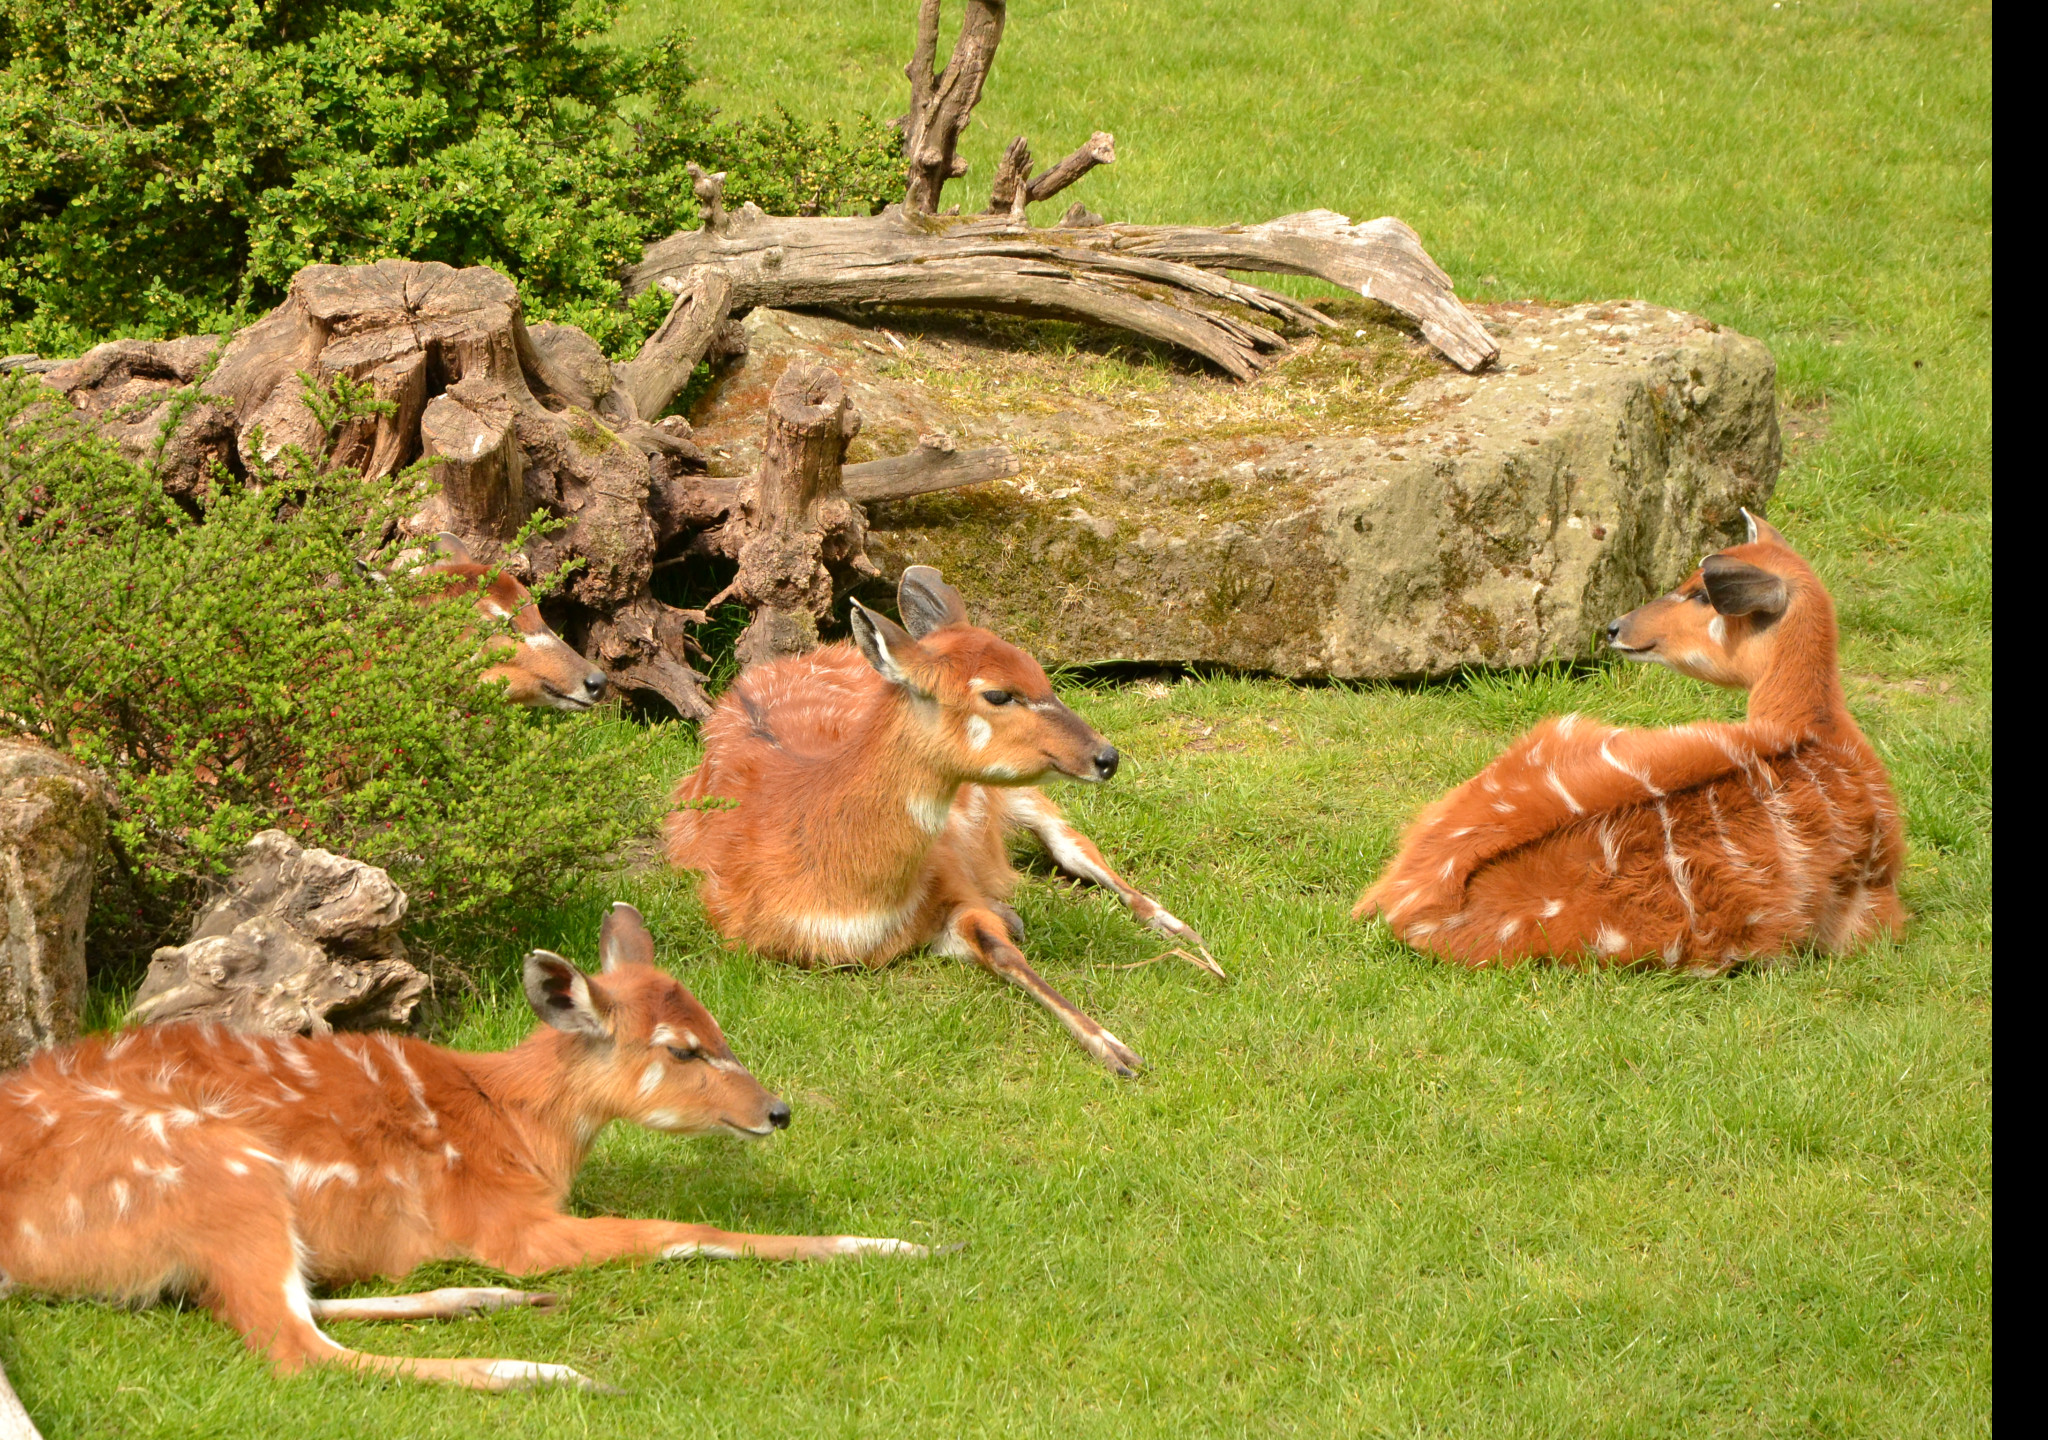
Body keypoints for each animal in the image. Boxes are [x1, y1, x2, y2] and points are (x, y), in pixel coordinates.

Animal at [0, 901, 921, 1409]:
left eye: (716, 1025)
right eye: (683, 1050)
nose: (778, 1111)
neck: (513, 1127)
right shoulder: (507, 1222)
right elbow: (677, 1231)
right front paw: (899, 1242)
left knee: (281, 1307)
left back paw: (498, 1303)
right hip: (216, 1167)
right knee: (293, 1347)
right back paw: (553, 1372)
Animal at [667, 569, 1212, 1073]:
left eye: (1041, 672)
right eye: (998, 694)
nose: (1107, 757)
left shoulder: (948, 874)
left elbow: (1001, 947)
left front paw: (1117, 1049)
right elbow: (997, 947)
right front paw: (1117, 1049)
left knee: (1072, 842)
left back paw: (1186, 934)